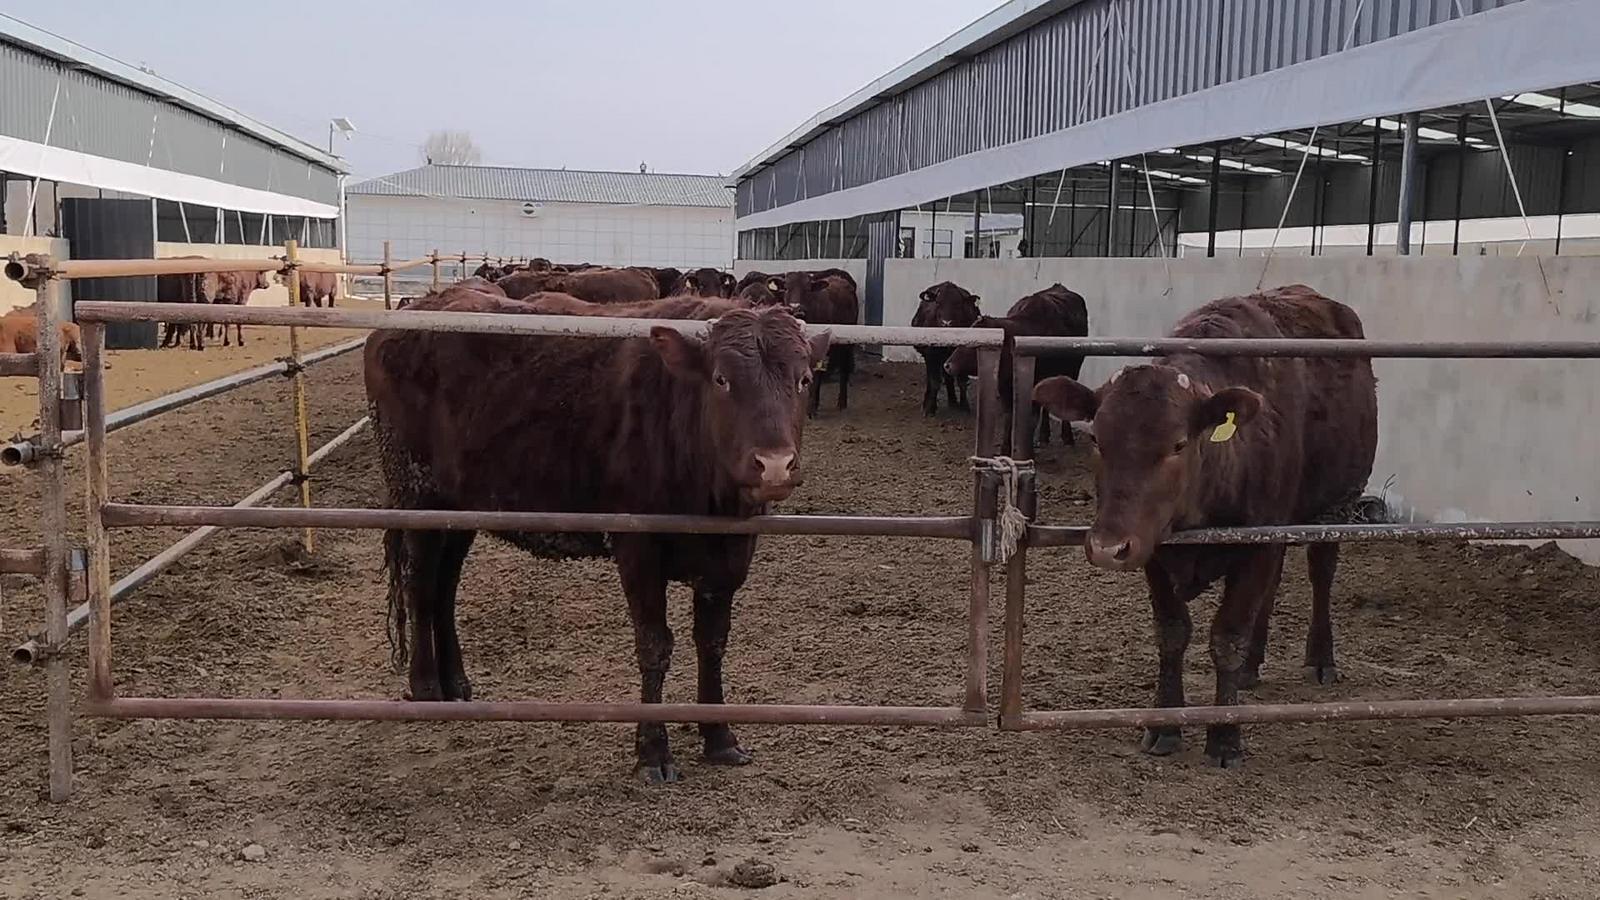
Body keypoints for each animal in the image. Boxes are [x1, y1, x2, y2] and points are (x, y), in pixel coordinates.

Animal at [366, 293, 832, 778]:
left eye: (802, 379)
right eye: (722, 379)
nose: (775, 464)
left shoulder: (729, 558)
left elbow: (713, 642)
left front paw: (720, 737)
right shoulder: (637, 548)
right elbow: (654, 644)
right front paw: (653, 752)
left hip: (459, 507)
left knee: (445, 586)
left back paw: (455, 682)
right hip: (416, 492)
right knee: (421, 584)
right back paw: (425, 685)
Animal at [777, 269, 857, 416]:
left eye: (808, 288)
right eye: (786, 287)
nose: (796, 308)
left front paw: (811, 407)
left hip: (847, 342)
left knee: (844, 367)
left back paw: (842, 402)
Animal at [915, 280, 985, 413]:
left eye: (958, 304)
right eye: (937, 302)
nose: (946, 323)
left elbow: (962, 381)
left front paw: (964, 406)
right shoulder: (931, 354)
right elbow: (934, 381)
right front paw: (930, 408)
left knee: (948, 377)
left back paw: (952, 401)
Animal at [940, 283, 1094, 445]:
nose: (947, 365)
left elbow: (1031, 418)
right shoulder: (1004, 386)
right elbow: (1009, 417)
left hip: (1073, 370)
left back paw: (1067, 437)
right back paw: (1044, 435)